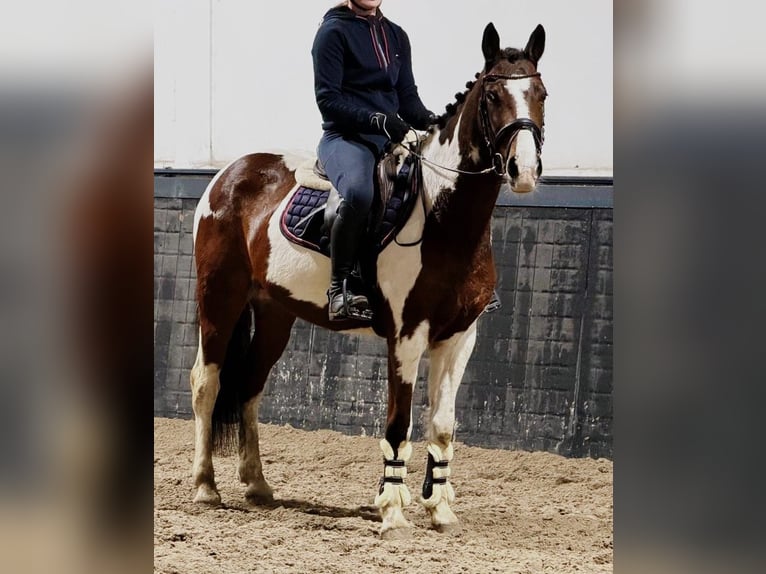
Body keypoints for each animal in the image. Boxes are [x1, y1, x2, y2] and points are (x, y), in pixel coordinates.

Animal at [190, 22, 546, 539]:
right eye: (493, 95)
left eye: (541, 93)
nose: (525, 171)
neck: (441, 217)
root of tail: (228, 175)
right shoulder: (407, 336)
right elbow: (398, 423)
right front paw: (393, 512)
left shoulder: (460, 337)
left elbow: (443, 426)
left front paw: (441, 512)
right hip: (220, 299)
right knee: (208, 383)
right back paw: (205, 487)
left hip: (274, 314)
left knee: (251, 388)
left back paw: (257, 486)